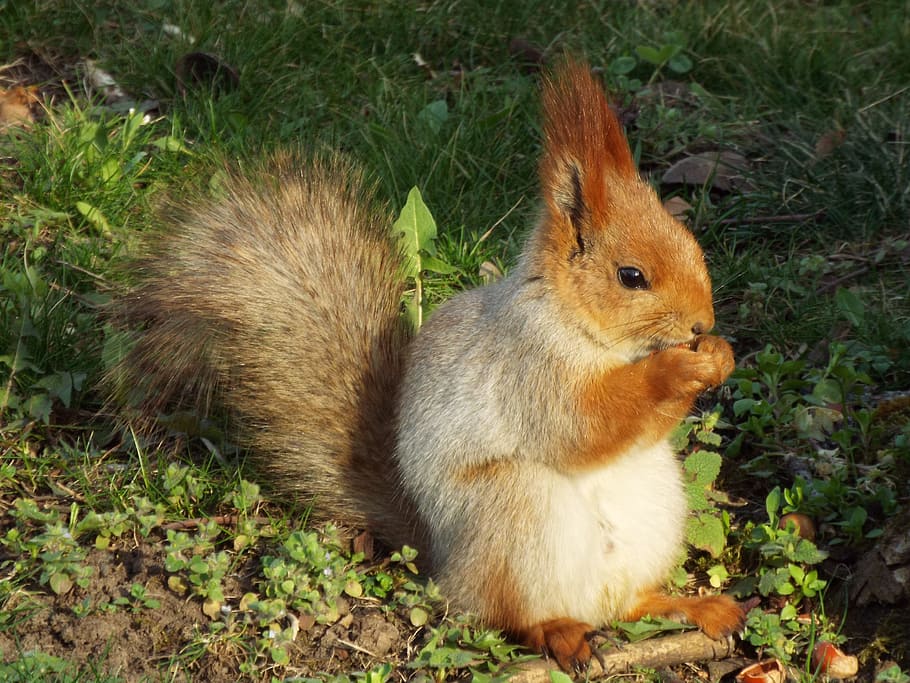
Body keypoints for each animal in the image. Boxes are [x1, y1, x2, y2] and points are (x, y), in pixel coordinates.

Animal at [114, 59, 744, 669]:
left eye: (689, 241)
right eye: (631, 276)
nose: (702, 323)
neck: (581, 325)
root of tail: (441, 557)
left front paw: (719, 356)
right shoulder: (528, 365)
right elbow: (582, 426)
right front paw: (677, 369)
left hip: (656, 508)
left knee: (628, 603)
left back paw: (697, 608)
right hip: (515, 514)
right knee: (509, 615)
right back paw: (560, 632)